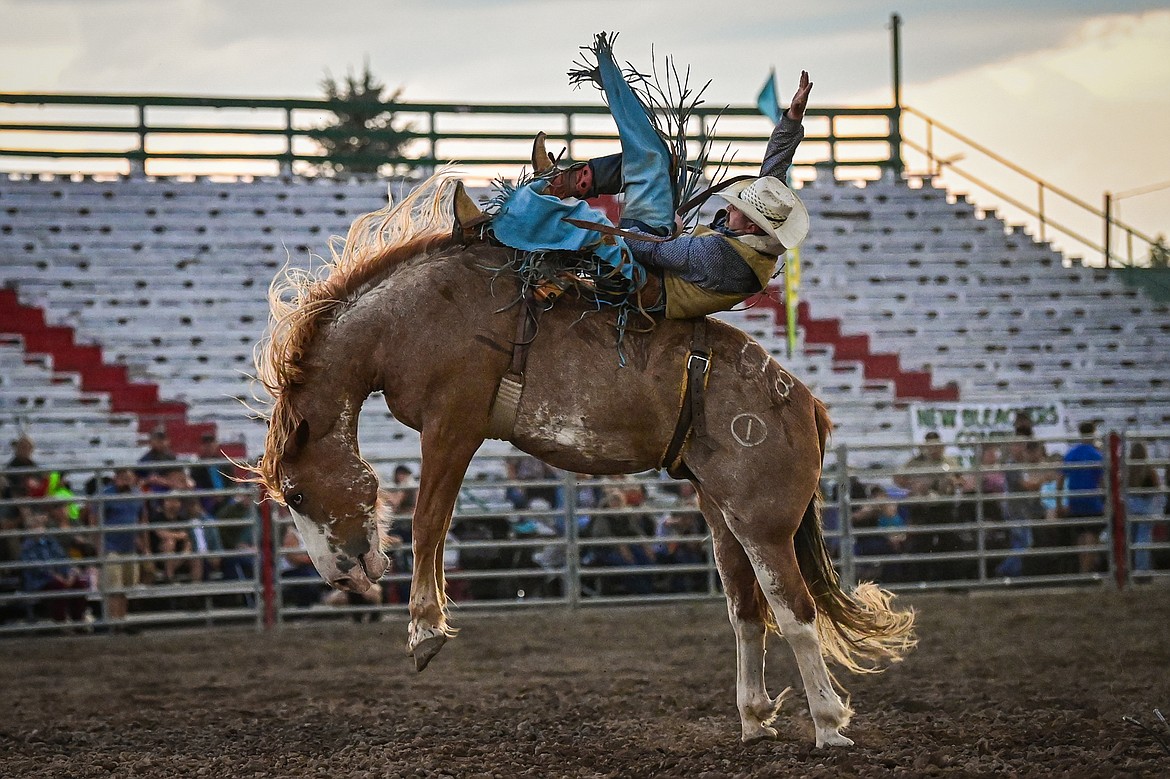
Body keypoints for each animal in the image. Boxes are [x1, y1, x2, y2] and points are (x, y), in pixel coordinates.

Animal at [253, 174, 912, 748]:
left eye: (297, 493)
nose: (340, 579)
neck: (405, 320)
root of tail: (803, 401)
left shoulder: (454, 424)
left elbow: (427, 522)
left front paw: (424, 633)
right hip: (723, 516)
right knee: (748, 613)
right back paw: (753, 720)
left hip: (764, 523)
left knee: (795, 612)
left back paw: (829, 725)